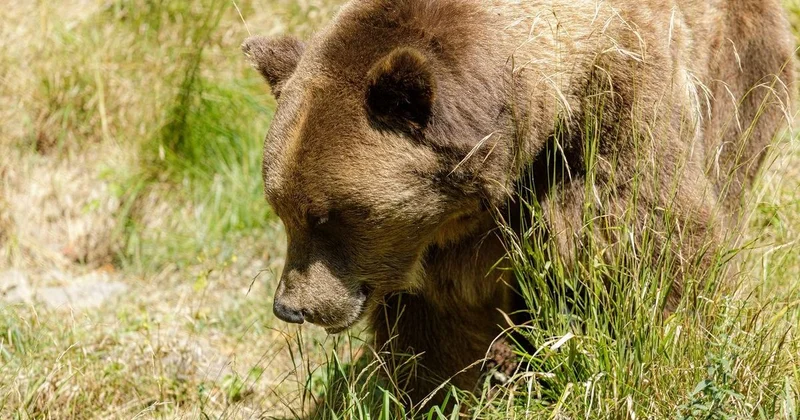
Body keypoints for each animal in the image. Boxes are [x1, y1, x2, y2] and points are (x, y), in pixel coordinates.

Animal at [242, 0, 795, 409]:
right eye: (280, 208)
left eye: (326, 214)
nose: (291, 307)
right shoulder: (448, 231)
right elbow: (440, 319)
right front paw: (441, 390)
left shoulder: (616, 110)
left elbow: (648, 246)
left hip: (739, 80)